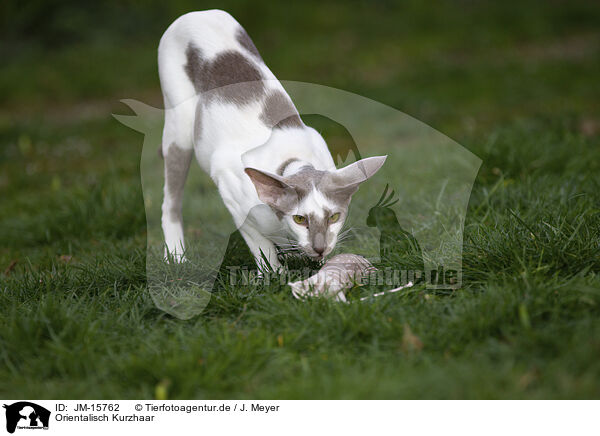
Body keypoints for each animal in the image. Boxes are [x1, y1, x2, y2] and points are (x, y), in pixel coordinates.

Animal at [157, 9, 386, 270]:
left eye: (334, 217)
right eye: (300, 219)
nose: (319, 248)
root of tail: (198, 12)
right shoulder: (231, 191)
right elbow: (261, 246)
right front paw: (273, 272)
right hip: (179, 128)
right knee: (170, 201)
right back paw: (176, 255)